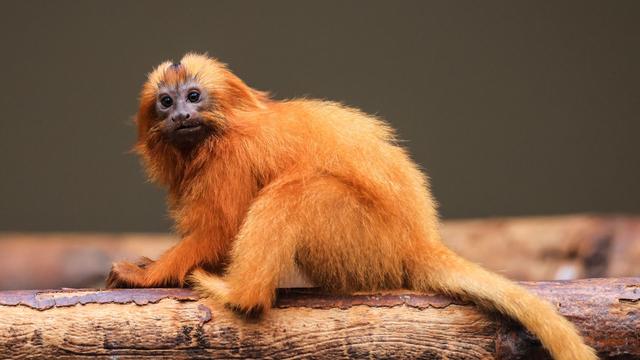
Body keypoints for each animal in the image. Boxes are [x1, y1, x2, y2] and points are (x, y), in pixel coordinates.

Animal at [107, 53, 596, 360]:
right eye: (165, 102)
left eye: (193, 97)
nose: (180, 116)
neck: (216, 132)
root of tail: (418, 241)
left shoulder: (231, 160)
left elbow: (220, 231)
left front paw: (147, 276)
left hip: (366, 240)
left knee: (295, 193)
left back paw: (240, 295)